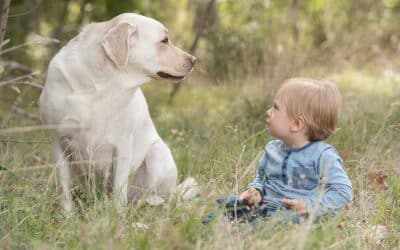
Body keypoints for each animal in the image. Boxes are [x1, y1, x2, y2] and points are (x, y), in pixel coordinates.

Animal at [39, 12, 196, 214]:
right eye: (164, 41)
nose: (194, 60)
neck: (101, 83)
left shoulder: (122, 147)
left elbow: (119, 191)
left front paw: (117, 216)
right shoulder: (58, 143)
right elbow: (63, 187)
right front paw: (67, 216)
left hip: (156, 154)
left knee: (154, 197)